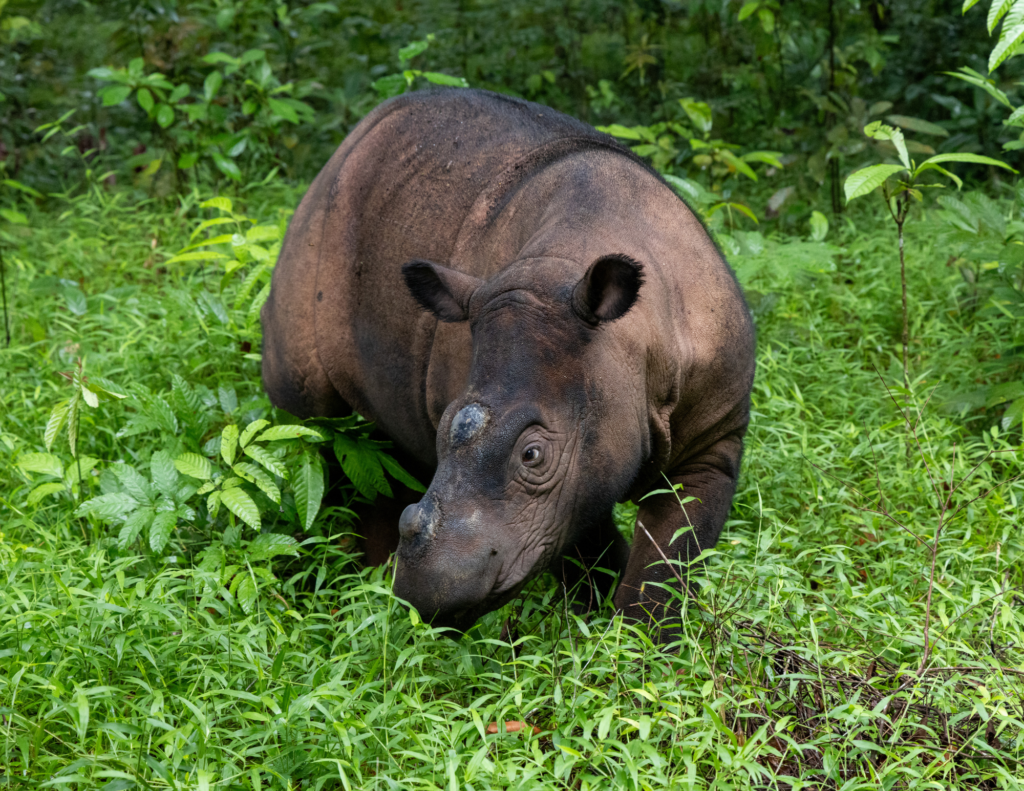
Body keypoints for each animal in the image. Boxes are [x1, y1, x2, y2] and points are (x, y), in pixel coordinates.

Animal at [261, 88, 755, 633]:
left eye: (532, 455)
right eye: (444, 423)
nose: (422, 593)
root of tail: (345, 146)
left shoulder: (713, 438)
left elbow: (669, 561)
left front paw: (639, 643)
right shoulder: (580, 471)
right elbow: (584, 544)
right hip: (312, 232)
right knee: (315, 423)